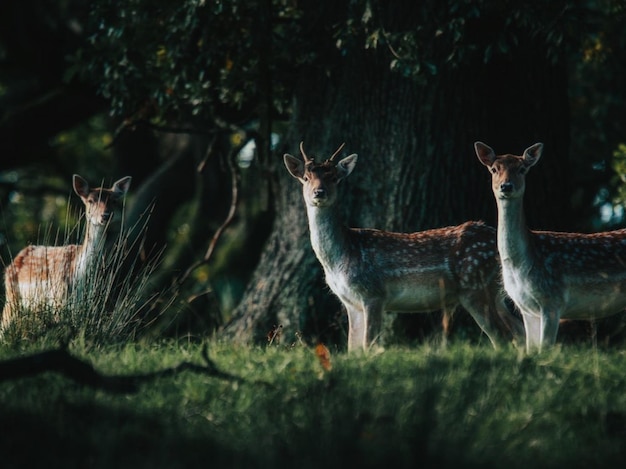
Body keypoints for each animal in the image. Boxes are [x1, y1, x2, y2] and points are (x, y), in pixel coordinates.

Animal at [2, 173, 132, 332]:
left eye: (114, 201)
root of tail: (17, 257)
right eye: (90, 200)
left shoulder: (85, 301)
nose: (105, 216)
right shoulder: (58, 298)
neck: (80, 275)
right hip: (12, 297)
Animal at [282, 141, 520, 350]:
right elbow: (352, 348)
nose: (319, 192)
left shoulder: (373, 293)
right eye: (305, 178)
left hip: (474, 285)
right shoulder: (351, 302)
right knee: (517, 329)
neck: (341, 258)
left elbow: (369, 345)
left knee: (502, 336)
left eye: (334, 178)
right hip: (494, 292)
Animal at [472, 142, 624, 352]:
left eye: (522, 169)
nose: (506, 186)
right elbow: (531, 350)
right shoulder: (527, 309)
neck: (523, 263)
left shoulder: (552, 299)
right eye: (494, 169)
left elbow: (545, 349)